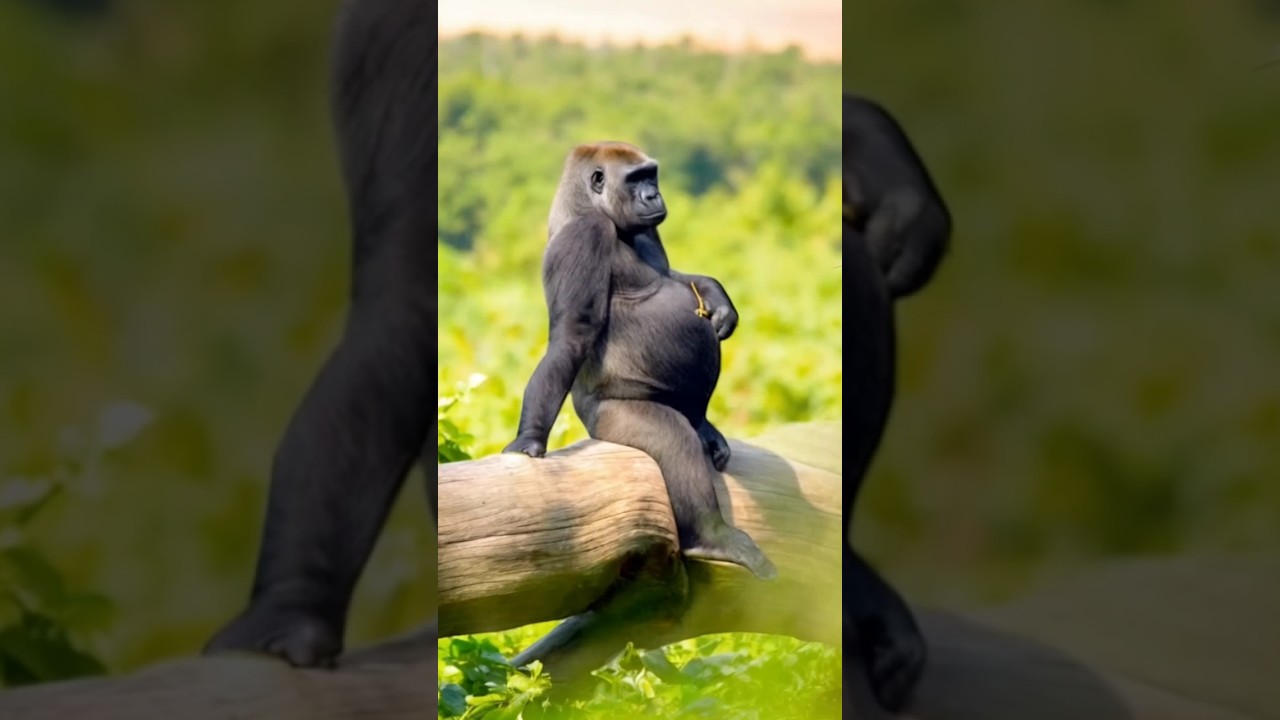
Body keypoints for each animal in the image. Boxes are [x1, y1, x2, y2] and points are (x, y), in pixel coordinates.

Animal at [502, 141, 778, 582]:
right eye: (635, 180)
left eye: (652, 175)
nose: (653, 196)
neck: (586, 206)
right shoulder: (584, 236)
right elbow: (572, 334)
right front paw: (529, 438)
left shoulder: (649, 229)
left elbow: (675, 275)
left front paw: (718, 297)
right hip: (607, 417)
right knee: (675, 441)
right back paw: (712, 536)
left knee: (691, 426)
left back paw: (705, 428)